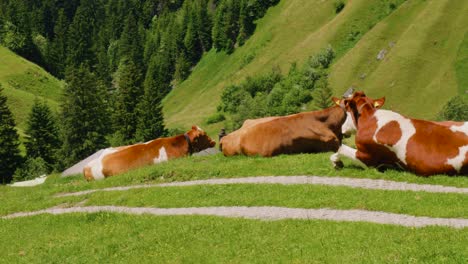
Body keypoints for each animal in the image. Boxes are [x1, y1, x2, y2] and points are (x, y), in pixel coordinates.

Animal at [330, 91, 468, 175]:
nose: (341, 129)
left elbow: (340, 148)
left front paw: (336, 162)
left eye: (345, 111)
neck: (370, 119)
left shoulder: (368, 159)